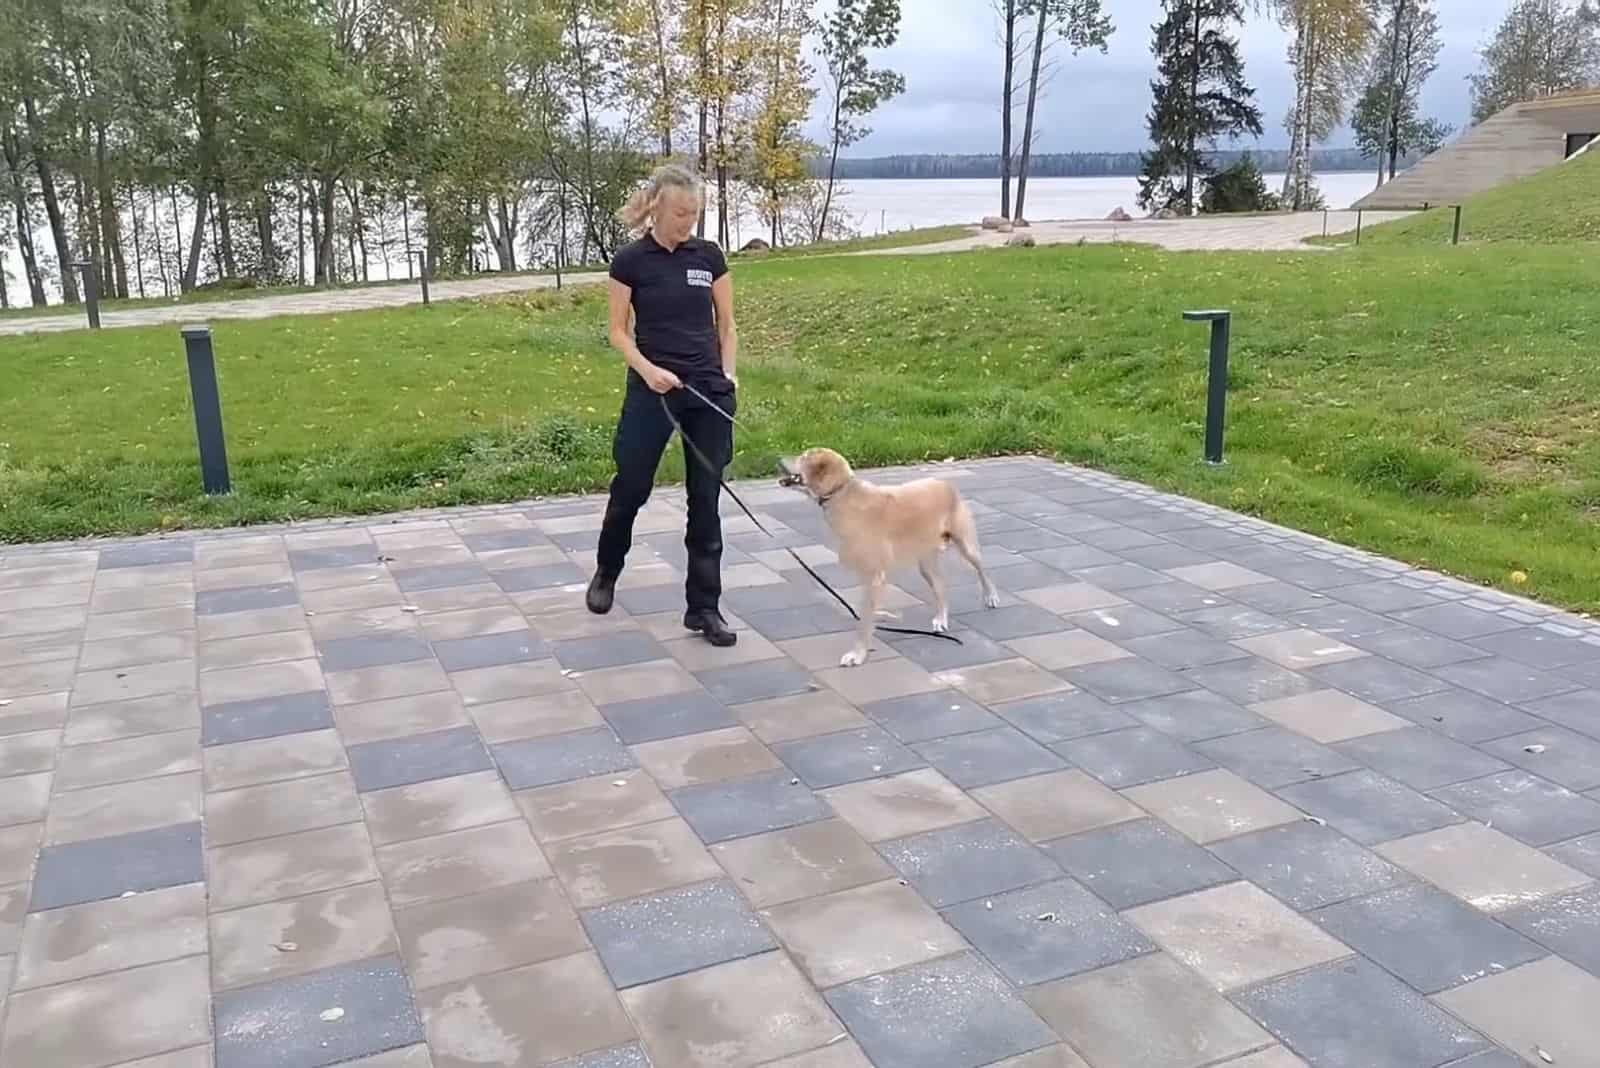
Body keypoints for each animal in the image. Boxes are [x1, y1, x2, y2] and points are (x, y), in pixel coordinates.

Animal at [780, 444, 992, 661]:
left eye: (803, 456)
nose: (779, 457)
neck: (841, 493)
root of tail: (944, 483)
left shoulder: (874, 576)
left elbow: (864, 619)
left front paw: (857, 654)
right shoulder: (866, 576)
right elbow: (865, 613)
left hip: (966, 545)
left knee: (981, 569)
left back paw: (990, 597)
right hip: (925, 560)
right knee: (940, 585)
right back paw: (941, 619)